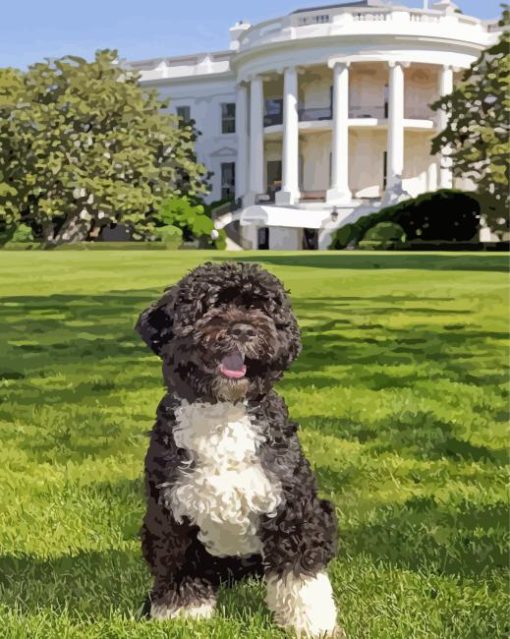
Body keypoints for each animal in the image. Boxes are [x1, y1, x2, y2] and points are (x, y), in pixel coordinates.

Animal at [136, 262, 338, 636]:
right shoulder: (170, 514)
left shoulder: (292, 508)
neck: (223, 415)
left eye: (262, 308)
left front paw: (313, 621)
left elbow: (300, 575)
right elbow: (179, 567)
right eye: (211, 306)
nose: (242, 330)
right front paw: (181, 613)